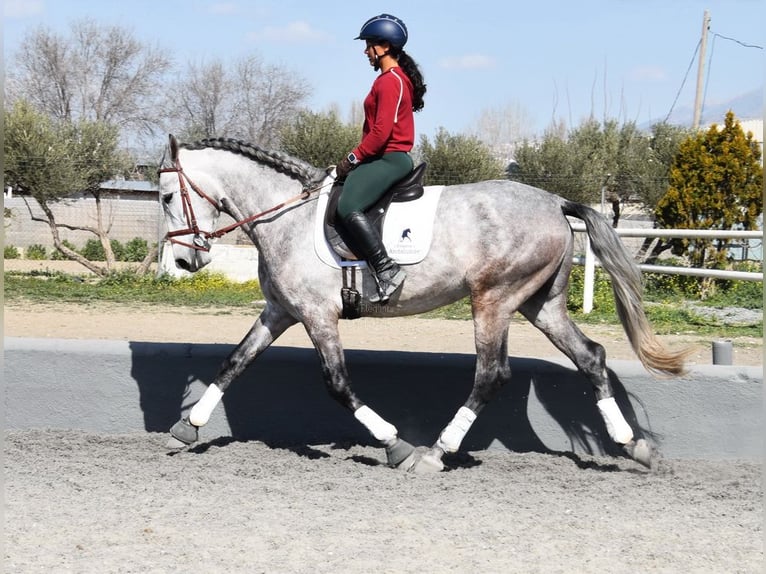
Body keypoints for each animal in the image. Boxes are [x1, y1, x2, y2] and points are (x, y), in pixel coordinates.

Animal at [159, 135, 688, 472]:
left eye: (165, 196)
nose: (184, 260)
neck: (286, 215)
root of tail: (555, 201)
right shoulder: (281, 312)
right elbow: (234, 362)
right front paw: (188, 426)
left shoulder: (317, 316)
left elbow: (337, 383)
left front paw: (395, 445)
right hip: (541, 305)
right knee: (591, 357)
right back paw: (633, 447)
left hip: (493, 300)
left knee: (491, 374)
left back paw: (435, 453)